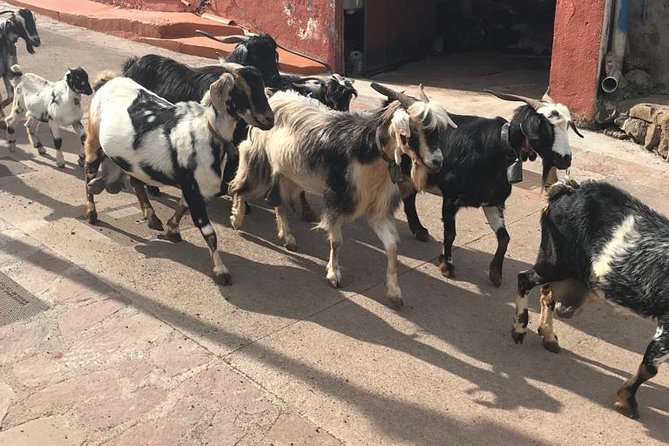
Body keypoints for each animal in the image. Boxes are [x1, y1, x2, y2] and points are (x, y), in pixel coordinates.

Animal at [82, 62, 272, 284]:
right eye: (241, 89)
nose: (269, 119)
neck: (207, 132)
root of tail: (108, 82)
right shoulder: (193, 188)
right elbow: (209, 232)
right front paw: (220, 271)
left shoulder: (192, 187)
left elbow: (182, 207)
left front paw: (172, 229)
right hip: (94, 140)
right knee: (88, 174)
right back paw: (91, 212)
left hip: (133, 161)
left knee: (136, 181)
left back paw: (151, 217)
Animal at [227, 83, 456, 306]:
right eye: (413, 130)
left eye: (438, 130)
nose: (437, 162)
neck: (368, 152)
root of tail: (273, 96)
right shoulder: (336, 198)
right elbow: (337, 241)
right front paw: (334, 275)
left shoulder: (377, 208)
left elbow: (392, 245)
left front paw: (394, 292)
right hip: (258, 158)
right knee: (240, 186)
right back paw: (237, 218)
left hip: (287, 172)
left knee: (278, 202)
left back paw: (288, 237)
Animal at [384, 88, 580, 286]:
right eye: (545, 126)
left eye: (568, 125)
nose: (565, 159)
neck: (495, 148)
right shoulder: (451, 197)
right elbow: (450, 233)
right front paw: (447, 266)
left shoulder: (492, 201)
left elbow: (504, 237)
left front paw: (495, 274)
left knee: (410, 197)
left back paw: (419, 230)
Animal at [512, 179, 668, 420]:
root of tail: (568, 190)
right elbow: (650, 367)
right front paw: (626, 402)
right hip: (555, 260)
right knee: (525, 280)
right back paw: (519, 329)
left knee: (548, 294)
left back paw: (549, 337)